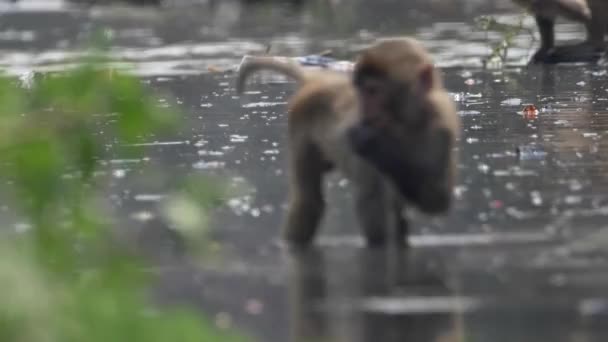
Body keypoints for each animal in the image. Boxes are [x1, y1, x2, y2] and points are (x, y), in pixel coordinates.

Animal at [235, 38, 458, 248]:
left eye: (373, 91)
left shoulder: (441, 129)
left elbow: (436, 199)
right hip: (300, 118)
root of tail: (317, 80)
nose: (365, 111)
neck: (404, 125)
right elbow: (371, 205)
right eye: (362, 92)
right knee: (308, 201)